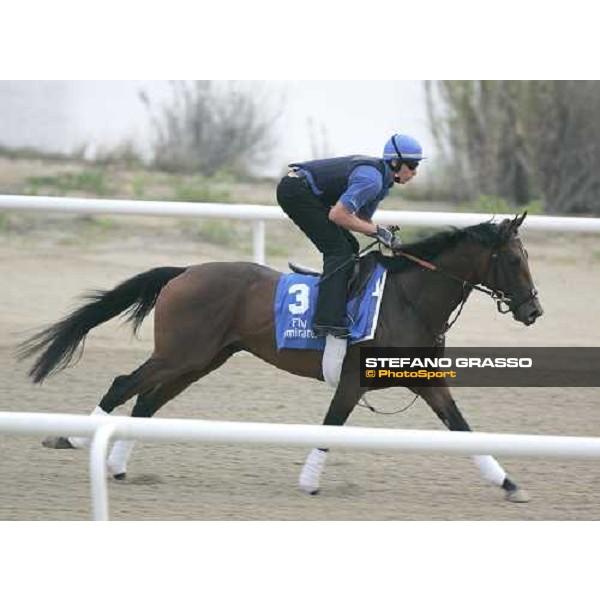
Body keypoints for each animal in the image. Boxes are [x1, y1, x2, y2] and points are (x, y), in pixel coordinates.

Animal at [19, 212, 544, 502]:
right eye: (514, 260)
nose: (534, 310)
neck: (407, 299)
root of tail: (185, 271)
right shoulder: (352, 381)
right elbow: (331, 427)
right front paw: (309, 483)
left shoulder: (427, 380)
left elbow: (462, 429)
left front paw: (508, 484)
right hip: (179, 353)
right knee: (124, 384)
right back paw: (71, 438)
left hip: (201, 359)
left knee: (148, 402)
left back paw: (117, 466)